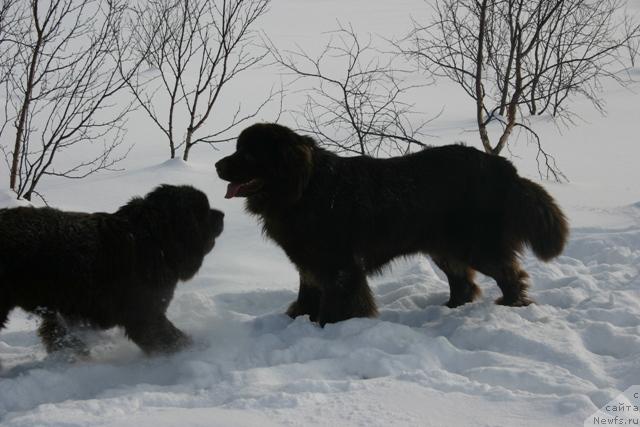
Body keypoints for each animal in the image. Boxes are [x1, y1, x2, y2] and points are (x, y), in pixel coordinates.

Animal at [216, 122, 568, 326]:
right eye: (237, 148)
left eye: (248, 153)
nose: (218, 165)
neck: (304, 188)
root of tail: (504, 167)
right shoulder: (309, 261)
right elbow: (308, 293)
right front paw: (299, 319)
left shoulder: (338, 264)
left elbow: (339, 300)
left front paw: (329, 325)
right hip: (444, 246)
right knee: (463, 282)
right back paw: (449, 309)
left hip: (476, 244)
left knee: (510, 274)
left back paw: (511, 306)